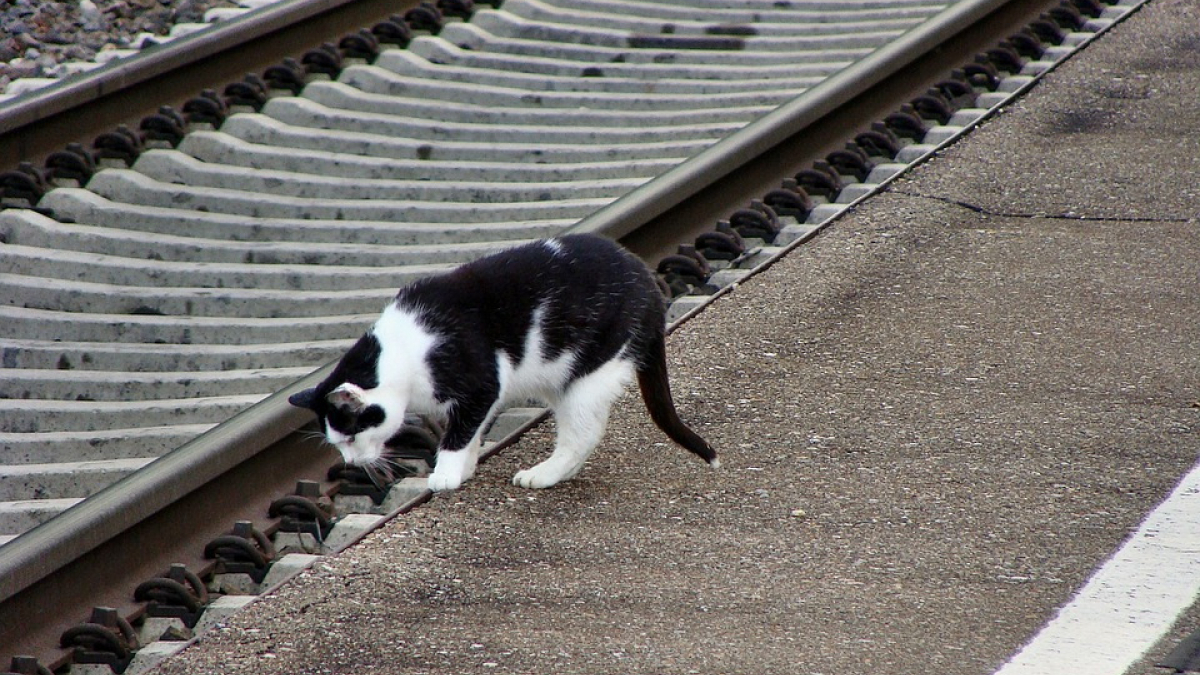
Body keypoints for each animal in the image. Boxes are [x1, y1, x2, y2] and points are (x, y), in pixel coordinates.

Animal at [288, 234, 720, 492]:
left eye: (349, 438)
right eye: (338, 444)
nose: (351, 462)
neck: (404, 351)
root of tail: (647, 279)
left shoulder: (481, 384)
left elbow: (458, 433)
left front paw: (445, 475)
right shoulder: (485, 398)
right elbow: (471, 431)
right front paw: (464, 467)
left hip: (590, 372)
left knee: (584, 432)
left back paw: (544, 474)